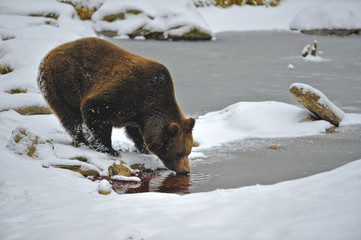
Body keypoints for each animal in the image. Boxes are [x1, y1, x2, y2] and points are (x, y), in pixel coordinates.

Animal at [37, 36, 194, 173]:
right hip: (62, 84)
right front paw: (109, 149)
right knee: (70, 117)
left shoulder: (138, 116)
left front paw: (143, 148)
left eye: (188, 152)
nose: (186, 170)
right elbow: (95, 113)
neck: (148, 106)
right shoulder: (123, 95)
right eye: (180, 153)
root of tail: (48, 54)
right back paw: (81, 141)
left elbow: (135, 132)